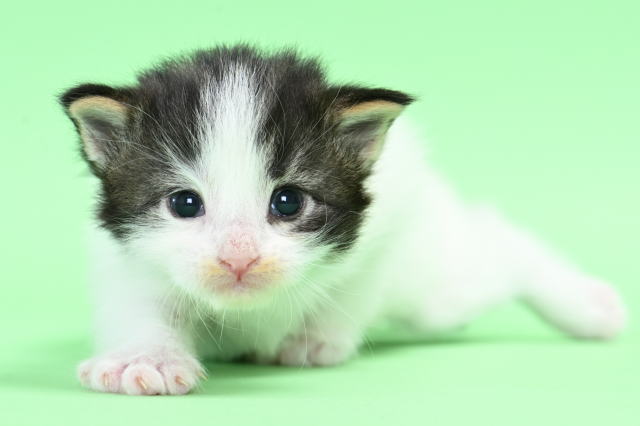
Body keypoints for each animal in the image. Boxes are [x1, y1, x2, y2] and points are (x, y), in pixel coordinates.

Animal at [60, 45, 626, 395]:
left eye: (288, 202)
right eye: (184, 204)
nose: (239, 259)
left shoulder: (392, 217)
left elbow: (355, 286)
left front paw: (316, 339)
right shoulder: (123, 256)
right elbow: (140, 305)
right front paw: (145, 358)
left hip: (433, 285)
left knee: (497, 244)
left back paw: (586, 305)